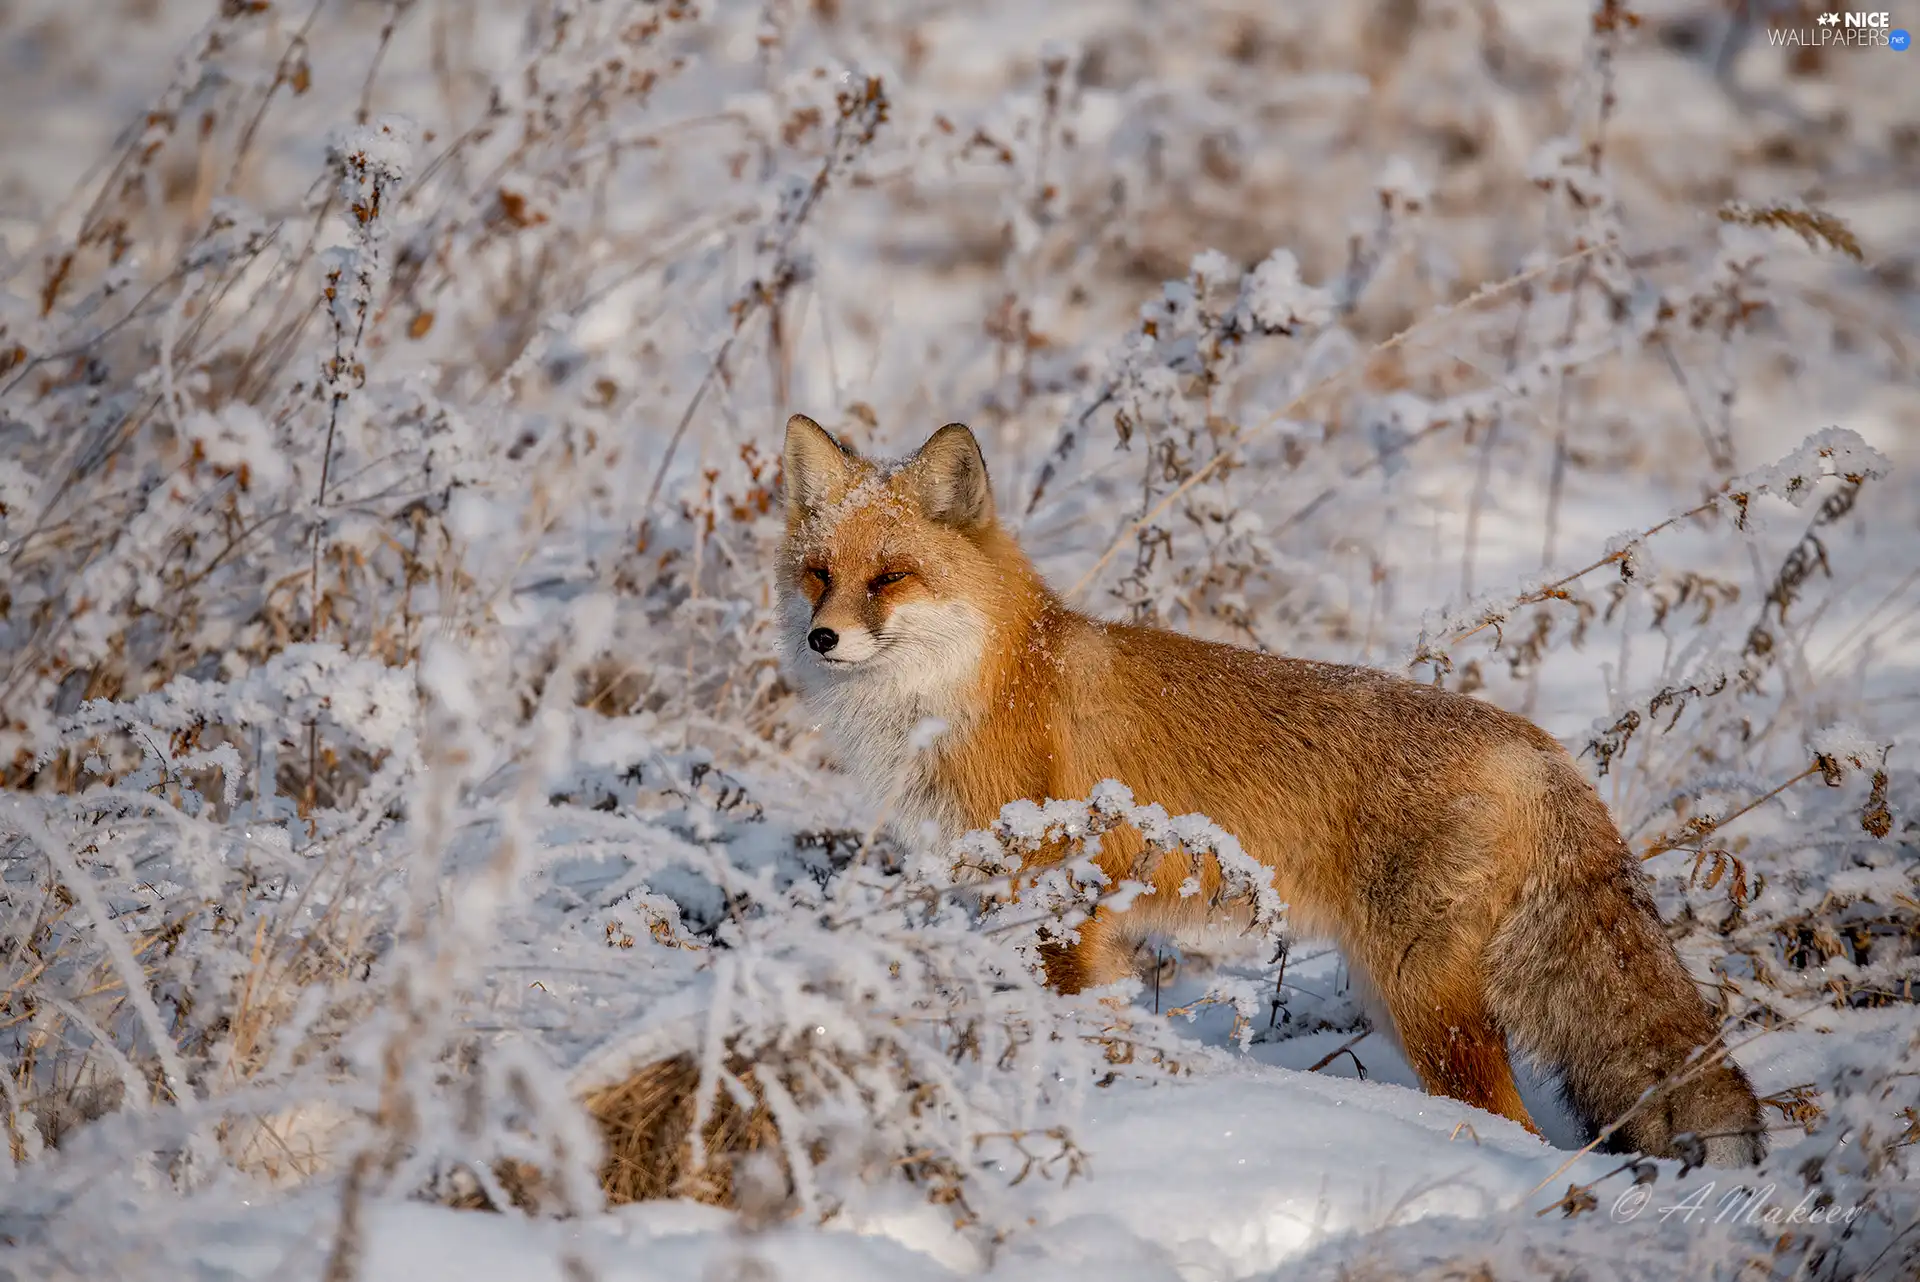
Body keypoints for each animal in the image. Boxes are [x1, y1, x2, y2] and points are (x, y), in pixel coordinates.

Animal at [771, 412, 1758, 1174]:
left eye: (890, 577)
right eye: (818, 573)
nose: (821, 639)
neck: (985, 685)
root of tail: (1541, 747)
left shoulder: (1062, 902)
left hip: (1423, 1005)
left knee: (1515, 1127)